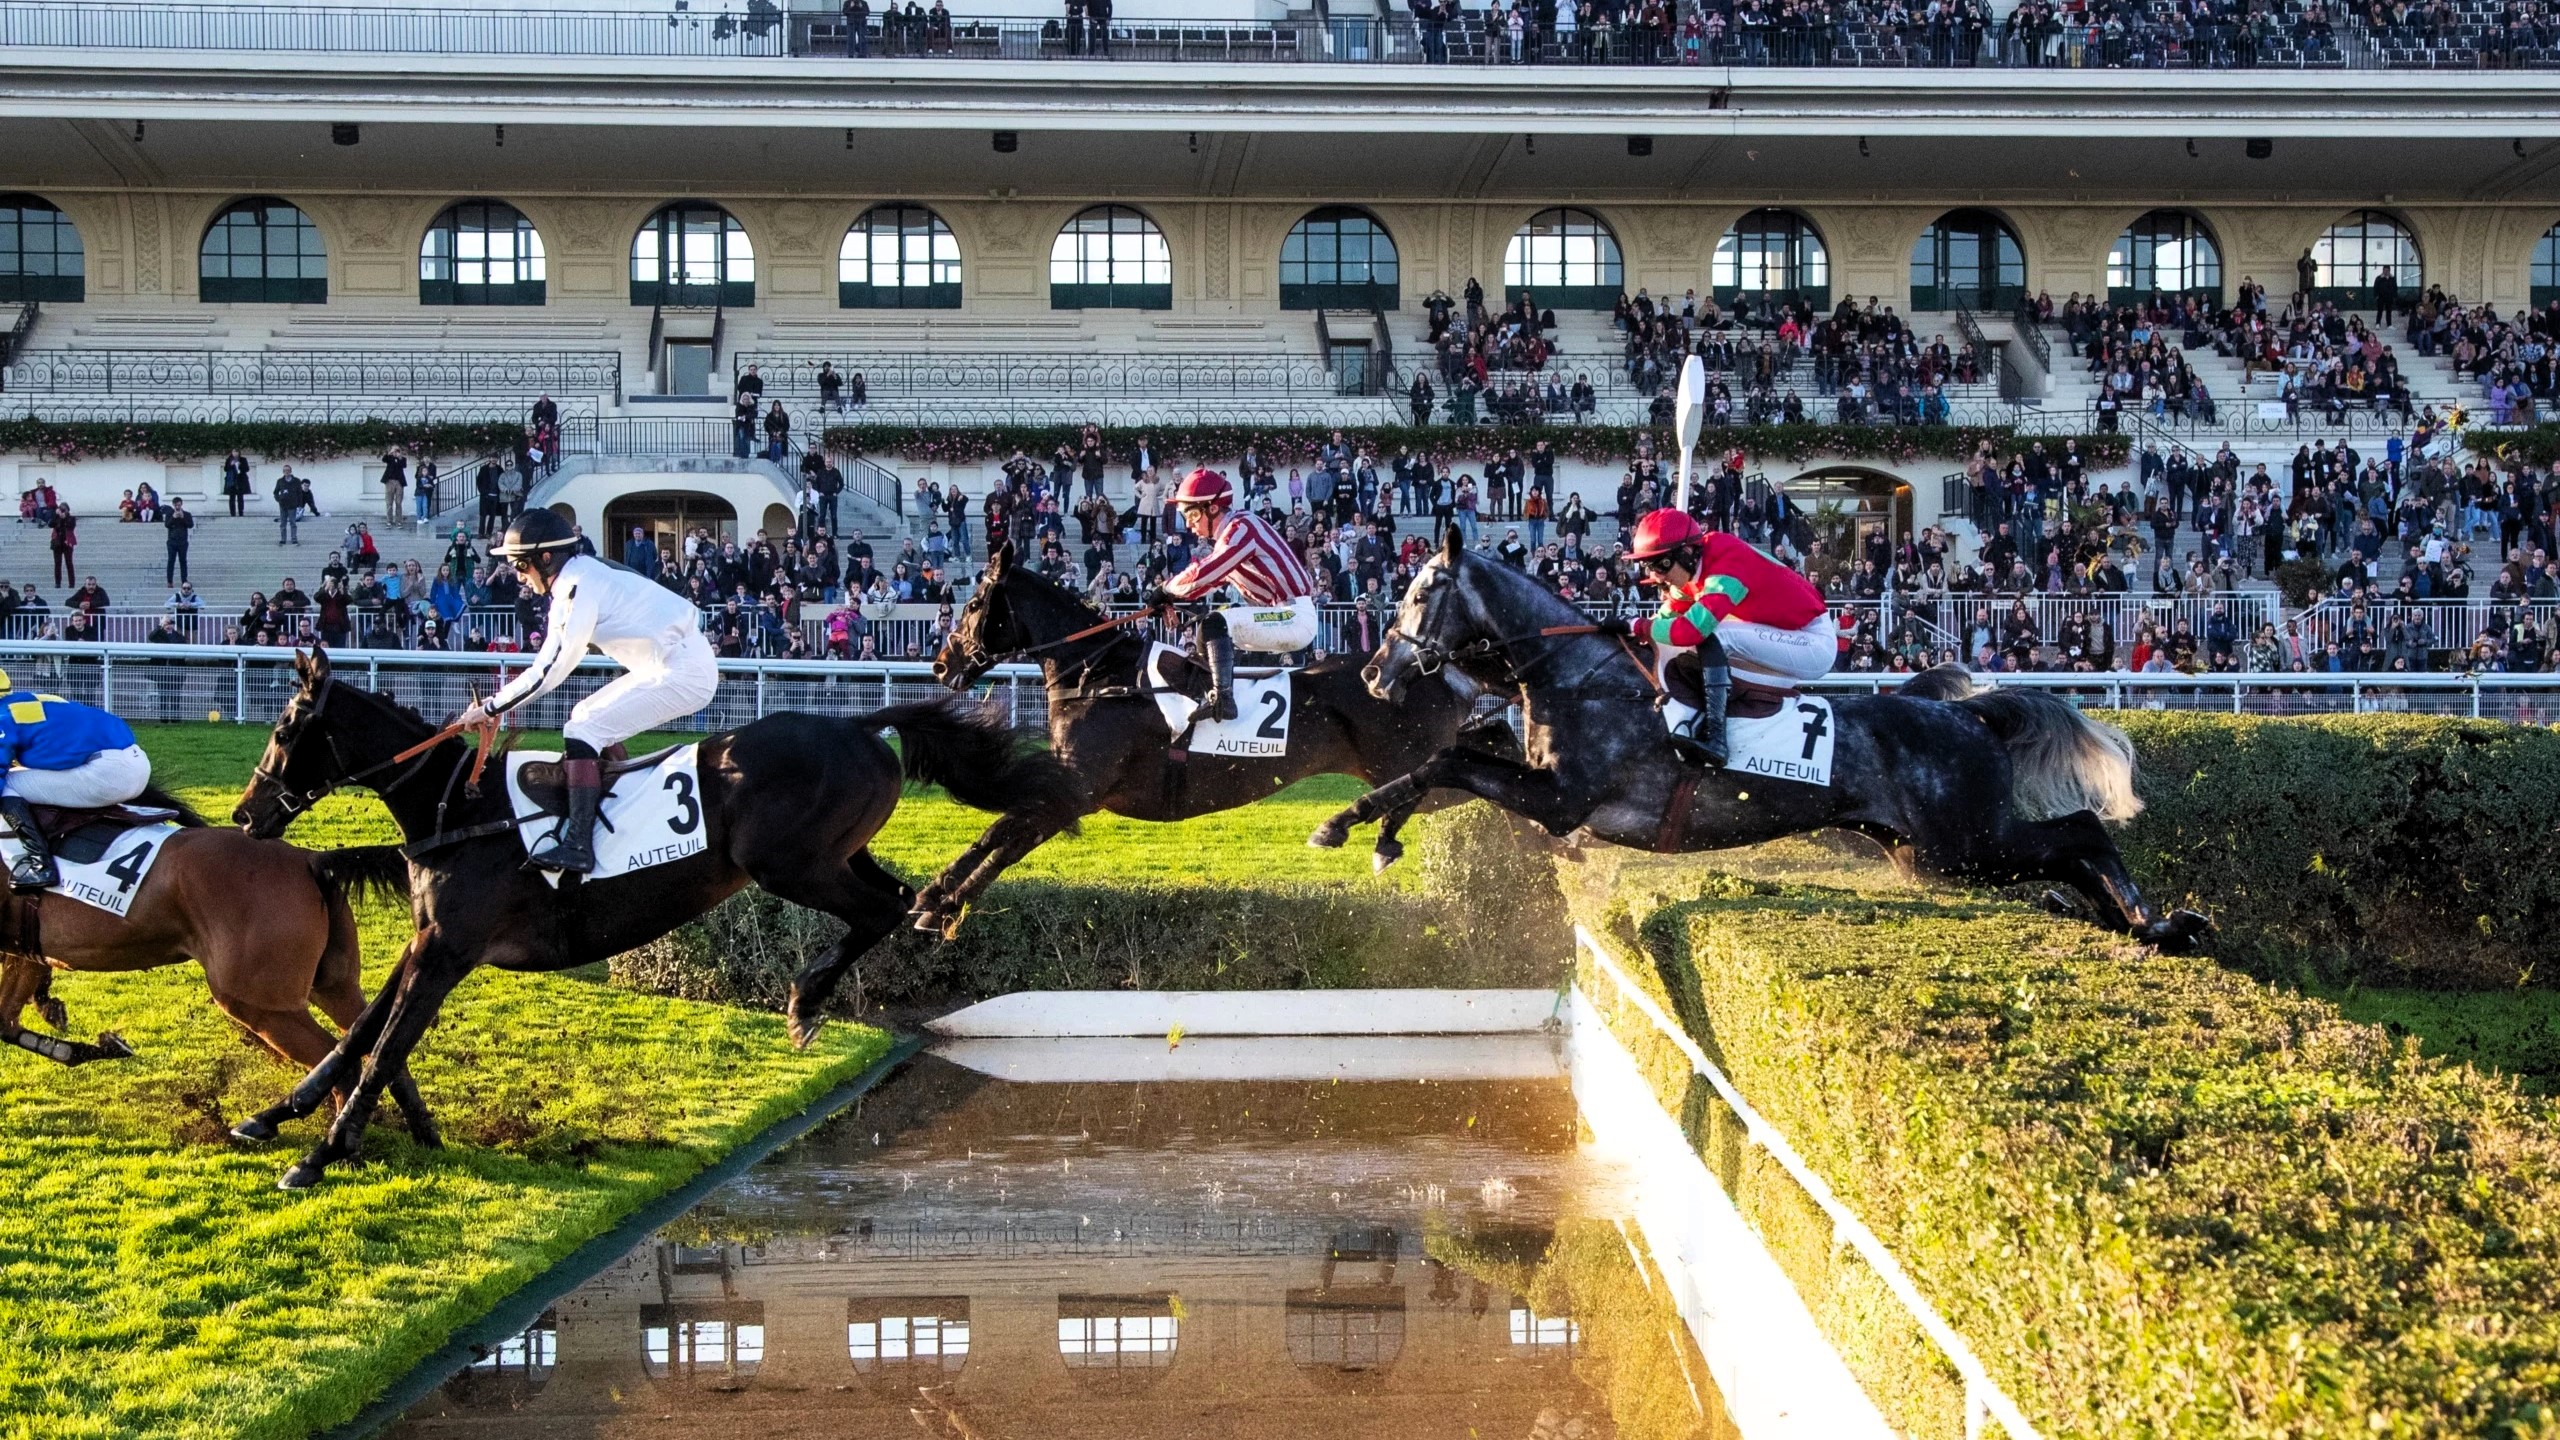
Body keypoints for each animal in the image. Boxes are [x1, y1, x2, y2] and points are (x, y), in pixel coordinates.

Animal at [0, 794, 435, 1132]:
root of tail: (310, 860)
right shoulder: (24, 948)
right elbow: (7, 1022)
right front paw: (86, 1043)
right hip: (334, 985)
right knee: (380, 1042)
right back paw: (417, 1130)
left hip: (260, 1003)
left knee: (337, 1057)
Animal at [230, 645, 1080, 1183]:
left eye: (284, 729)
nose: (245, 815)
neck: (460, 811)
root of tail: (854, 724)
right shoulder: (427, 941)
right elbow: (361, 1032)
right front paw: (273, 1117)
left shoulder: (451, 950)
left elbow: (384, 1046)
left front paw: (319, 1156)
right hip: (835, 854)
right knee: (902, 901)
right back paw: (872, 956)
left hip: (790, 864)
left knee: (881, 911)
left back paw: (809, 1000)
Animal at [911, 540, 1495, 932]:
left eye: (972, 606)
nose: (942, 664)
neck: (1097, 674)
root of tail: (1432, 668)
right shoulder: (1065, 788)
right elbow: (996, 835)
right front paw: (930, 896)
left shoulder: (1076, 793)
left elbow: (1005, 841)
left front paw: (946, 904)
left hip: (1408, 770)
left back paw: (1379, 838)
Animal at [1310, 532, 2211, 948]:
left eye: (1421, 594)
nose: (1377, 674)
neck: (1573, 673)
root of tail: (1968, 713)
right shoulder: (1537, 780)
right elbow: (1443, 764)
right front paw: (1374, 831)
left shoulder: (1565, 800)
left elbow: (1448, 758)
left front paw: (1344, 826)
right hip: (1932, 858)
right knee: (2065, 854)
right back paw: (2129, 923)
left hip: (1965, 843)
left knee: (2081, 830)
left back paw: (2153, 921)